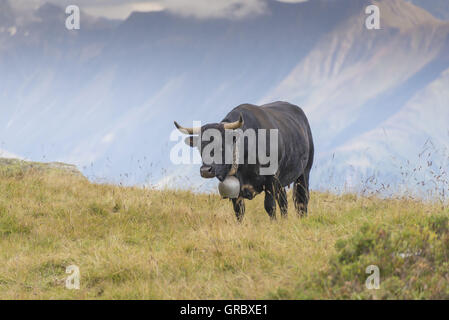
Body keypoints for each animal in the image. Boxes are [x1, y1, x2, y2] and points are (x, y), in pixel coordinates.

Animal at [173, 101, 314, 221]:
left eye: (222, 145)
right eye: (199, 148)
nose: (205, 170)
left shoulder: (271, 179)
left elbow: (269, 206)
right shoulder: (236, 189)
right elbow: (239, 211)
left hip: (304, 172)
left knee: (301, 199)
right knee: (284, 200)